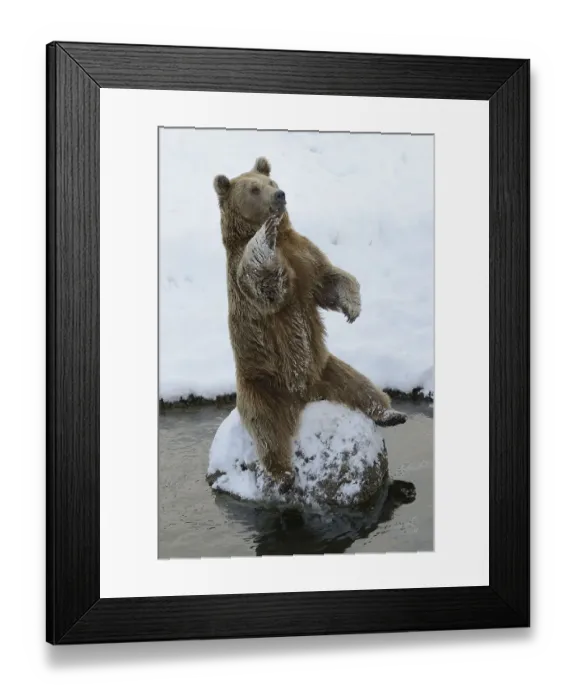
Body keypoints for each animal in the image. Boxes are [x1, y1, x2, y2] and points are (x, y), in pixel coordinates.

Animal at [213, 156, 407, 492]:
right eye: (254, 189)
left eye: (271, 182)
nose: (279, 195)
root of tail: (304, 395)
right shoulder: (248, 275)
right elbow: (265, 282)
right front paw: (266, 233)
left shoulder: (304, 255)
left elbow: (327, 279)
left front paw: (352, 307)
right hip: (261, 385)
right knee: (267, 430)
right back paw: (283, 475)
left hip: (327, 367)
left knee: (360, 386)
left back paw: (391, 413)